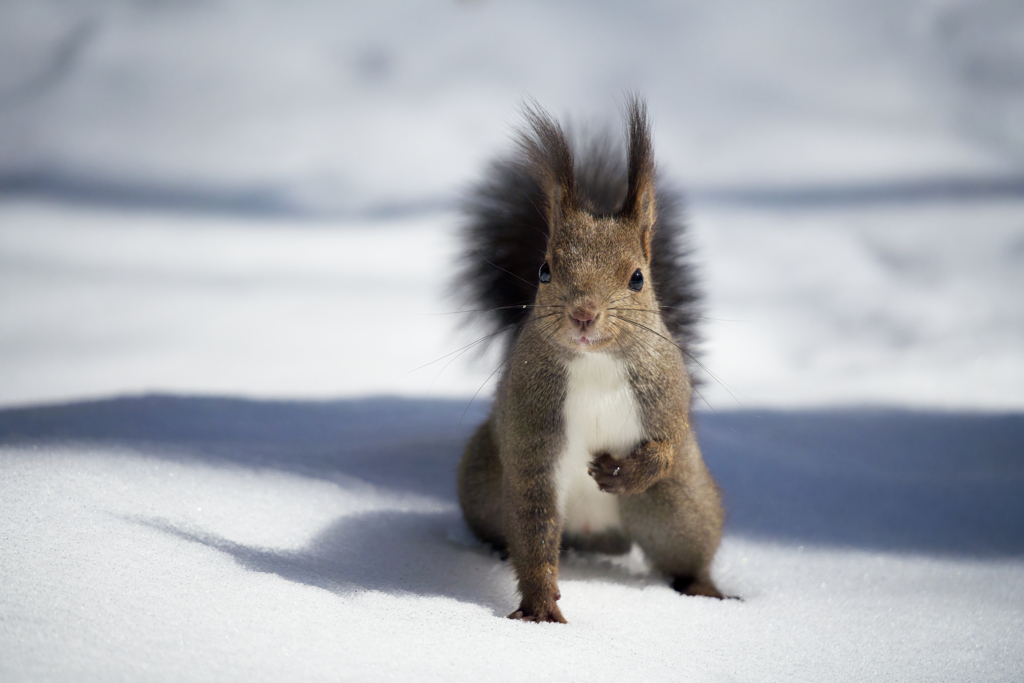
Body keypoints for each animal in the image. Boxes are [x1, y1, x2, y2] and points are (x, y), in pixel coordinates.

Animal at [452, 96, 724, 626]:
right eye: (544, 270)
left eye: (638, 277)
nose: (584, 313)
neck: (595, 363)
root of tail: (595, 536)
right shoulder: (531, 431)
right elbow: (534, 527)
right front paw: (540, 608)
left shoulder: (666, 387)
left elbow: (668, 439)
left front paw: (622, 473)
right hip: (484, 486)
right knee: (519, 531)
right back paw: (497, 550)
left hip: (679, 507)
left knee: (688, 548)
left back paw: (703, 588)